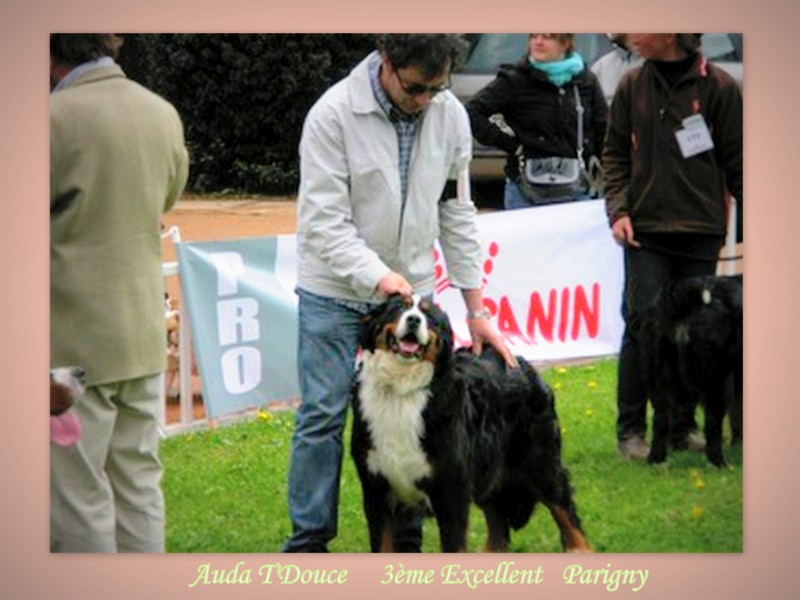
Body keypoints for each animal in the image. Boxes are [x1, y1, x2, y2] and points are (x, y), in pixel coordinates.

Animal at [352, 296, 592, 552]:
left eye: (429, 317)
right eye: (399, 307)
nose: (414, 320)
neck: (400, 391)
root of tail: (520, 362)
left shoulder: (452, 491)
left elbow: (454, 546)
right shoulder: (375, 490)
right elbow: (382, 544)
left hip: (540, 462)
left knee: (565, 511)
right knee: (498, 526)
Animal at [636, 274, 744, 466]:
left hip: (659, 378)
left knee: (660, 421)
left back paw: (656, 460)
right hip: (717, 378)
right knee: (712, 423)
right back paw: (719, 463)